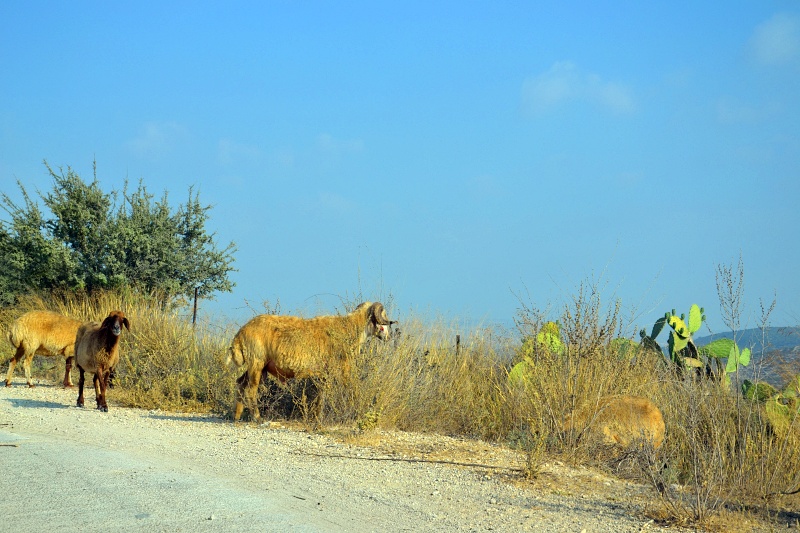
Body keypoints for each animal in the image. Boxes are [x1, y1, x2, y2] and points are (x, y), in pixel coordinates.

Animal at [227, 302, 396, 422]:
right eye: (383, 320)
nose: (388, 337)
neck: (350, 328)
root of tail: (240, 334)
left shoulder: (325, 373)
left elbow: (322, 394)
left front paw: (317, 416)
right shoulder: (343, 367)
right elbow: (348, 387)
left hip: (257, 366)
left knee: (240, 383)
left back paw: (237, 416)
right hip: (256, 363)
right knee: (251, 390)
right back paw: (257, 417)